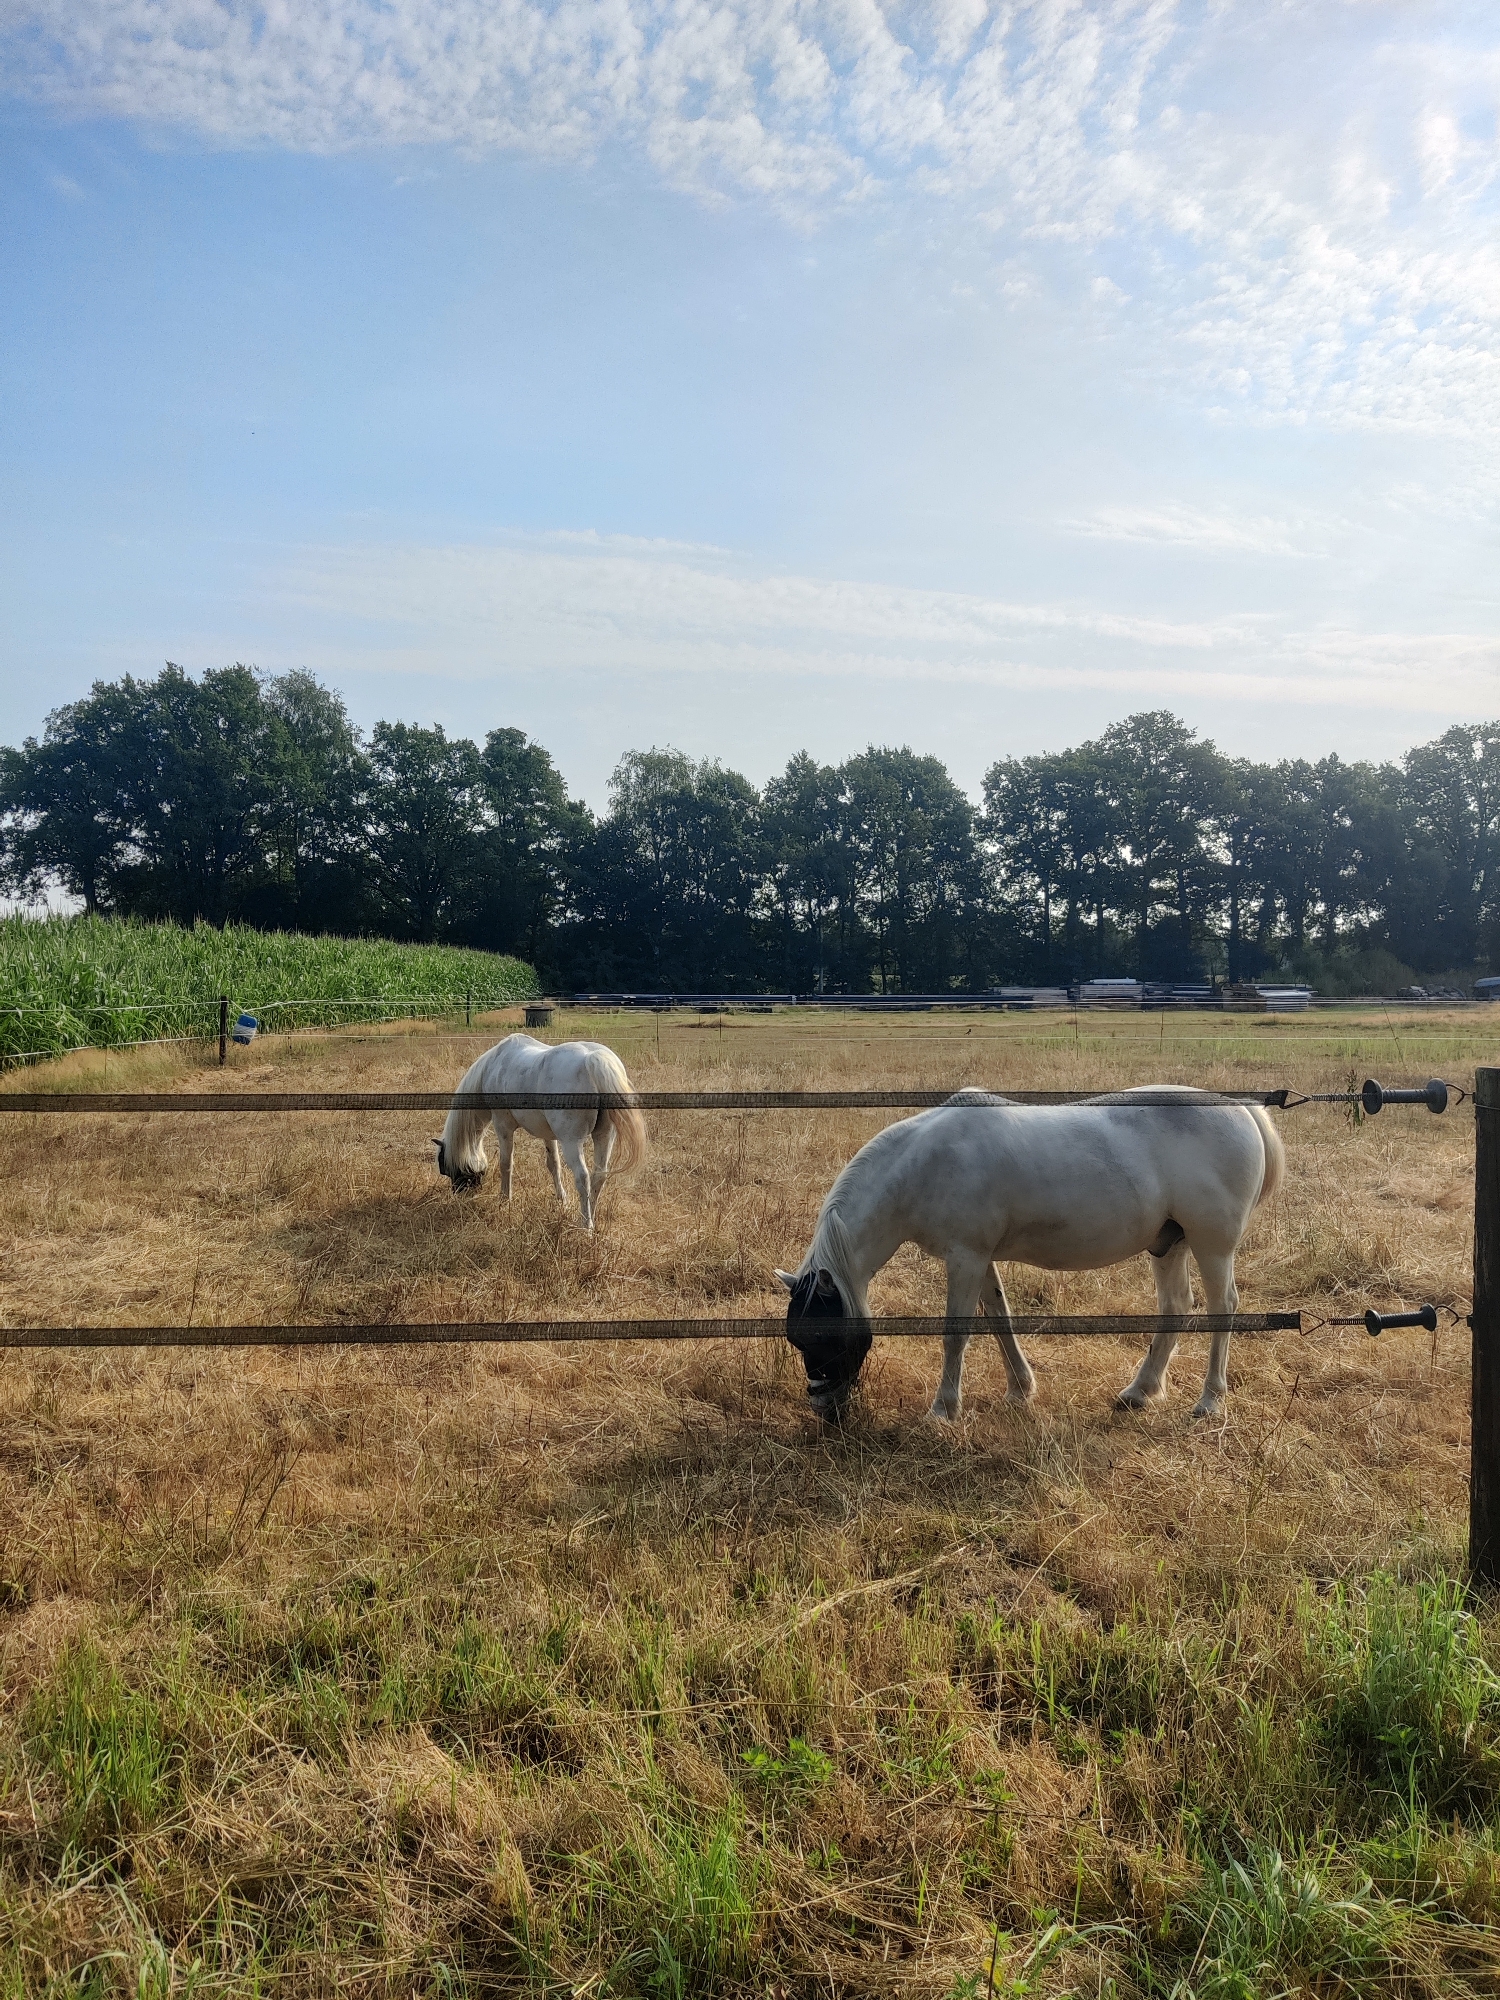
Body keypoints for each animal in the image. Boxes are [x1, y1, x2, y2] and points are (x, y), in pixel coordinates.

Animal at [433, 1034, 646, 1231]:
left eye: (445, 1168)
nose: (463, 1197)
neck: (493, 1066)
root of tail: (592, 1059)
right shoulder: (548, 1135)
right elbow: (554, 1165)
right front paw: (562, 1201)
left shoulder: (503, 1127)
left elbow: (506, 1164)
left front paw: (504, 1200)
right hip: (604, 1136)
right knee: (599, 1176)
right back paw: (589, 1218)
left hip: (572, 1141)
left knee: (582, 1177)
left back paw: (585, 1227)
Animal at [775, 1087, 1284, 1423]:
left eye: (823, 1335)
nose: (824, 1407)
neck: (924, 1165)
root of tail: (1241, 1108)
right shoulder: (979, 1258)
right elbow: (999, 1320)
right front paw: (1021, 1389)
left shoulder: (964, 1257)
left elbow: (956, 1335)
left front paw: (943, 1410)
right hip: (1168, 1244)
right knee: (1175, 1307)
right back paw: (1139, 1392)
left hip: (1212, 1245)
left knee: (1223, 1308)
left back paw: (1209, 1401)